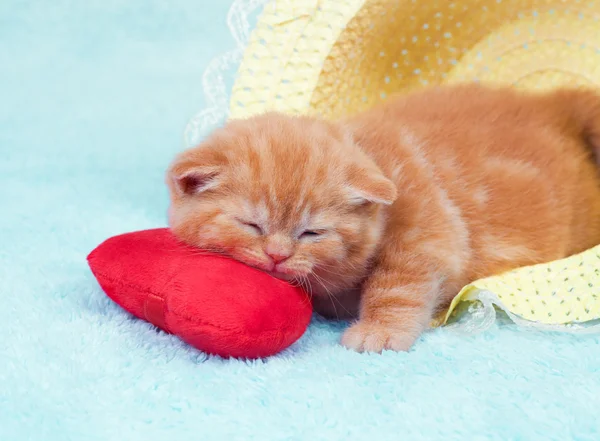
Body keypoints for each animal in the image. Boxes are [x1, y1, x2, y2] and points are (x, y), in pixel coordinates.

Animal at [166, 84, 600, 352]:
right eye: (252, 225)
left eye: (311, 232)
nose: (277, 255)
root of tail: (554, 105)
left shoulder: (426, 228)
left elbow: (398, 285)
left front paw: (379, 331)